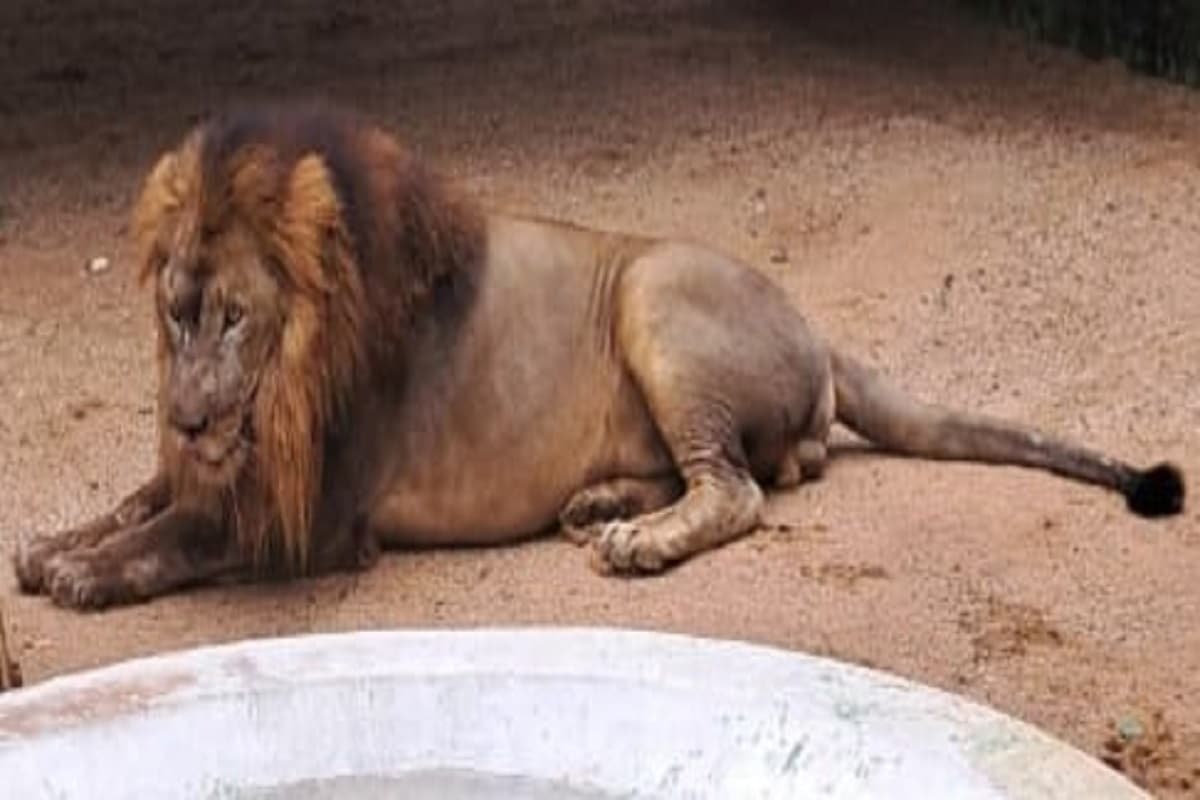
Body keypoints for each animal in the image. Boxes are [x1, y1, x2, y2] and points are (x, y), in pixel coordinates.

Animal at [13, 103, 1185, 610]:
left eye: (235, 318)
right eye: (175, 315)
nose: (189, 416)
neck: (279, 389)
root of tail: (817, 327)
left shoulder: (318, 514)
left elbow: (176, 534)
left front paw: (84, 571)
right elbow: (142, 499)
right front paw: (54, 542)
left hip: (652, 292)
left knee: (741, 490)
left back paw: (636, 541)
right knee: (747, 472)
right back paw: (602, 504)